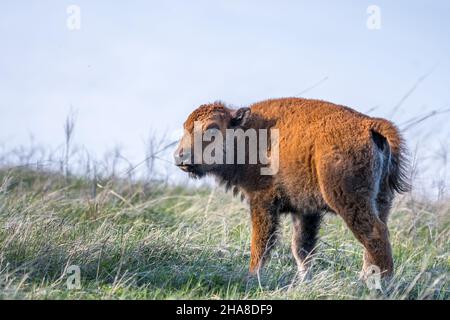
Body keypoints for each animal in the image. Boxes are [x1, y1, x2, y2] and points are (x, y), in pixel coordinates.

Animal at [174, 97, 410, 278]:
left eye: (211, 129)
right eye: (185, 127)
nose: (180, 156)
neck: (246, 134)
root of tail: (370, 124)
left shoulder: (262, 202)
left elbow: (261, 244)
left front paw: (252, 275)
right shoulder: (305, 212)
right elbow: (302, 249)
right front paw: (304, 281)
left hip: (349, 201)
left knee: (374, 235)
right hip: (381, 201)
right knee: (374, 240)